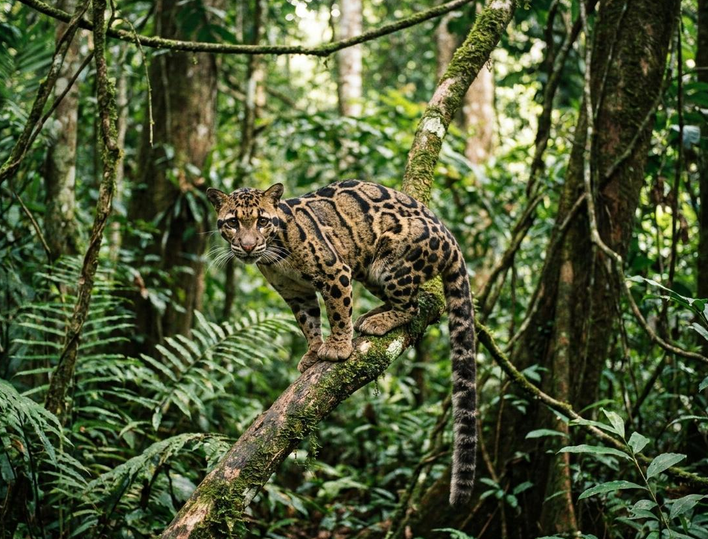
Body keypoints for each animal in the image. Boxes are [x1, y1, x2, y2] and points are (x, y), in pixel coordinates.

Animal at [207, 179, 477, 505]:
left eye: (261, 221)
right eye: (232, 223)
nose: (247, 246)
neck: (276, 254)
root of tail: (451, 237)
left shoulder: (334, 272)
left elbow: (337, 311)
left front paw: (338, 347)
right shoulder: (295, 292)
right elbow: (308, 323)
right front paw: (313, 351)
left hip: (391, 264)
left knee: (412, 306)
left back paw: (377, 321)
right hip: (370, 270)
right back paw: (373, 313)